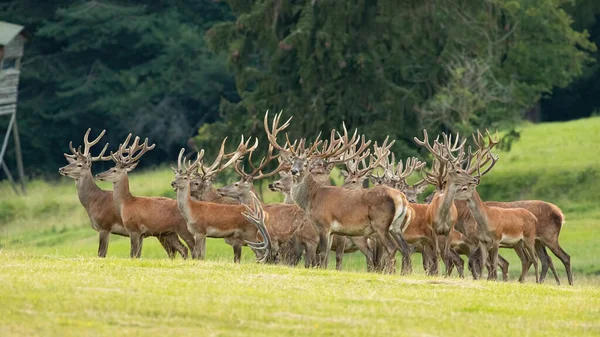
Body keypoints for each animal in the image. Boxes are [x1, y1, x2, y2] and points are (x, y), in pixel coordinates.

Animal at [59, 129, 186, 258]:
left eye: (79, 165)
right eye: (72, 162)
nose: (61, 169)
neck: (94, 201)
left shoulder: (105, 226)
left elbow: (102, 253)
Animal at [264, 111, 410, 272]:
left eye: (306, 164)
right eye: (292, 163)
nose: (294, 171)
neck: (311, 200)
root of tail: (401, 197)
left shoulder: (324, 225)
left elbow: (322, 254)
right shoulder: (331, 231)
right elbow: (326, 255)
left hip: (381, 224)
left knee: (391, 249)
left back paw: (391, 272)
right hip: (396, 227)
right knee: (405, 248)